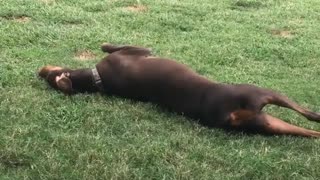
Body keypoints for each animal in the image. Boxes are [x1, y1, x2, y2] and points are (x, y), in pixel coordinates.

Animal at [38, 44, 320, 138]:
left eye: (48, 75)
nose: (39, 70)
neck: (97, 79)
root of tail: (230, 115)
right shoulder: (138, 50)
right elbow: (108, 45)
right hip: (260, 93)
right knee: (307, 114)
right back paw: (317, 115)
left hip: (269, 124)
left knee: (310, 132)